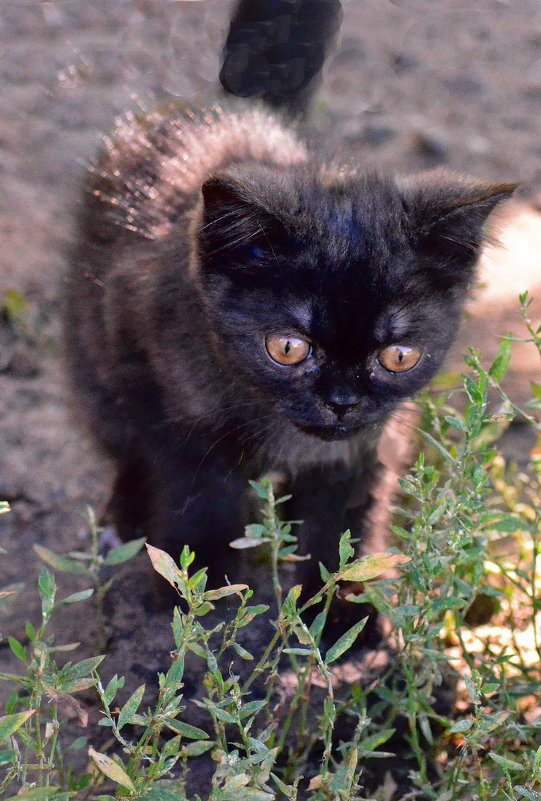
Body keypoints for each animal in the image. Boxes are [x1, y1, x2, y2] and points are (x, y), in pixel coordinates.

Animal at [61, 3, 512, 608]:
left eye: (398, 356)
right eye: (288, 348)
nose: (342, 401)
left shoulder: (367, 442)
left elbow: (343, 525)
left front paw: (344, 610)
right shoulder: (172, 409)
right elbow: (197, 499)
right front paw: (202, 598)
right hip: (95, 358)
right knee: (120, 438)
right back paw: (123, 518)